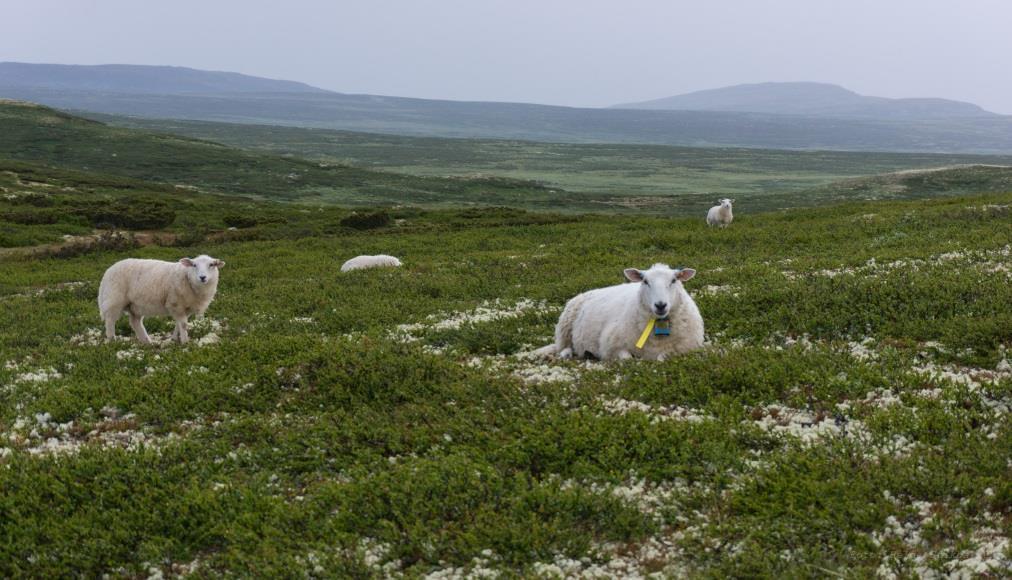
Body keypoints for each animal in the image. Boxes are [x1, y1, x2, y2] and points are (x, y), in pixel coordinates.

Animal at [538, 263, 704, 362]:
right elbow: (627, 359)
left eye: (674, 280)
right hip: (564, 328)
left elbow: (662, 357)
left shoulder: (685, 349)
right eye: (645, 281)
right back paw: (566, 355)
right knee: (564, 347)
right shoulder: (610, 347)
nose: (660, 305)